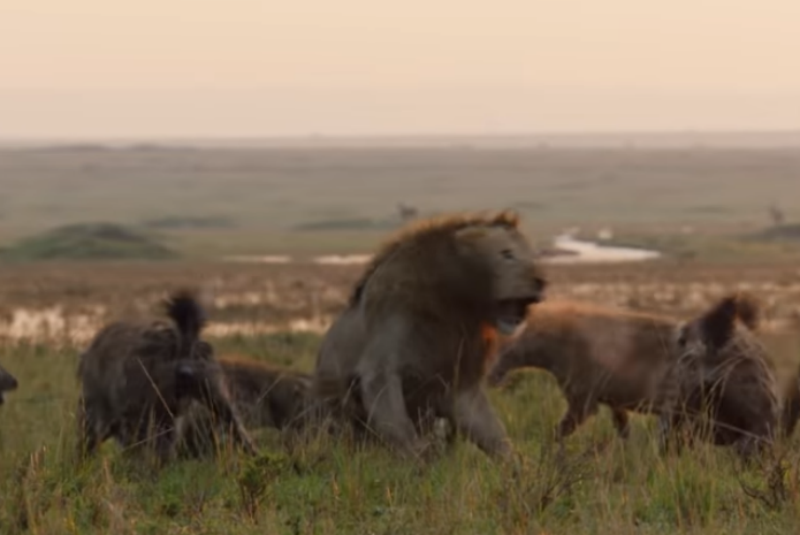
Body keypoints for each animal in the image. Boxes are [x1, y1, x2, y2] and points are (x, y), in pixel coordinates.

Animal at [310, 210, 548, 460]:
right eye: (507, 254)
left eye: (532, 256)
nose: (540, 281)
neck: (456, 303)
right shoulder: (381, 366)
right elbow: (398, 426)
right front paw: (417, 460)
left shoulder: (461, 382)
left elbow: (494, 434)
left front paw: (521, 466)